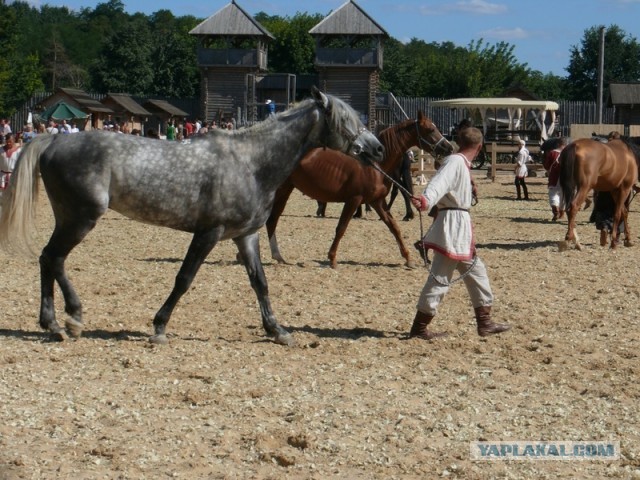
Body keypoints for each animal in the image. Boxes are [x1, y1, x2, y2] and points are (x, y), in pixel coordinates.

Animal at [268, 114, 452, 268]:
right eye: (430, 129)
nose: (448, 147)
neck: (375, 165)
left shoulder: (377, 202)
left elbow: (394, 227)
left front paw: (408, 258)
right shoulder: (354, 199)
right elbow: (341, 228)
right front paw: (332, 258)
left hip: (285, 189)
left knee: (272, 220)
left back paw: (278, 257)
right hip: (281, 190)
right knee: (271, 220)